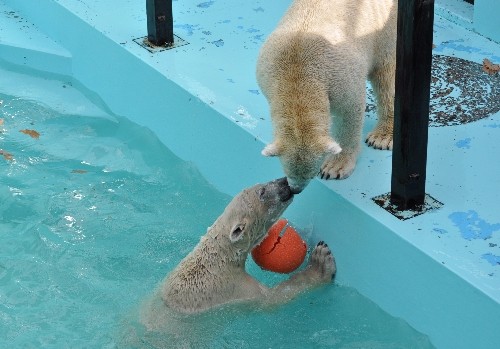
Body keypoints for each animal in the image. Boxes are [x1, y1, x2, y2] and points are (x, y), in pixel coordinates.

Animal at [157, 178, 336, 314]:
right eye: (262, 191)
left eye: (262, 184)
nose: (285, 181)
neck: (219, 258)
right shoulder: (234, 288)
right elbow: (274, 298)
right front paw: (320, 263)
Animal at [258, 0, 398, 193]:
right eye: (288, 171)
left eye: (310, 174)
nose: (295, 189)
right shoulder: (267, 73)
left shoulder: (340, 78)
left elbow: (350, 113)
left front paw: (334, 167)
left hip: (384, 28)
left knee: (386, 76)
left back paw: (382, 136)